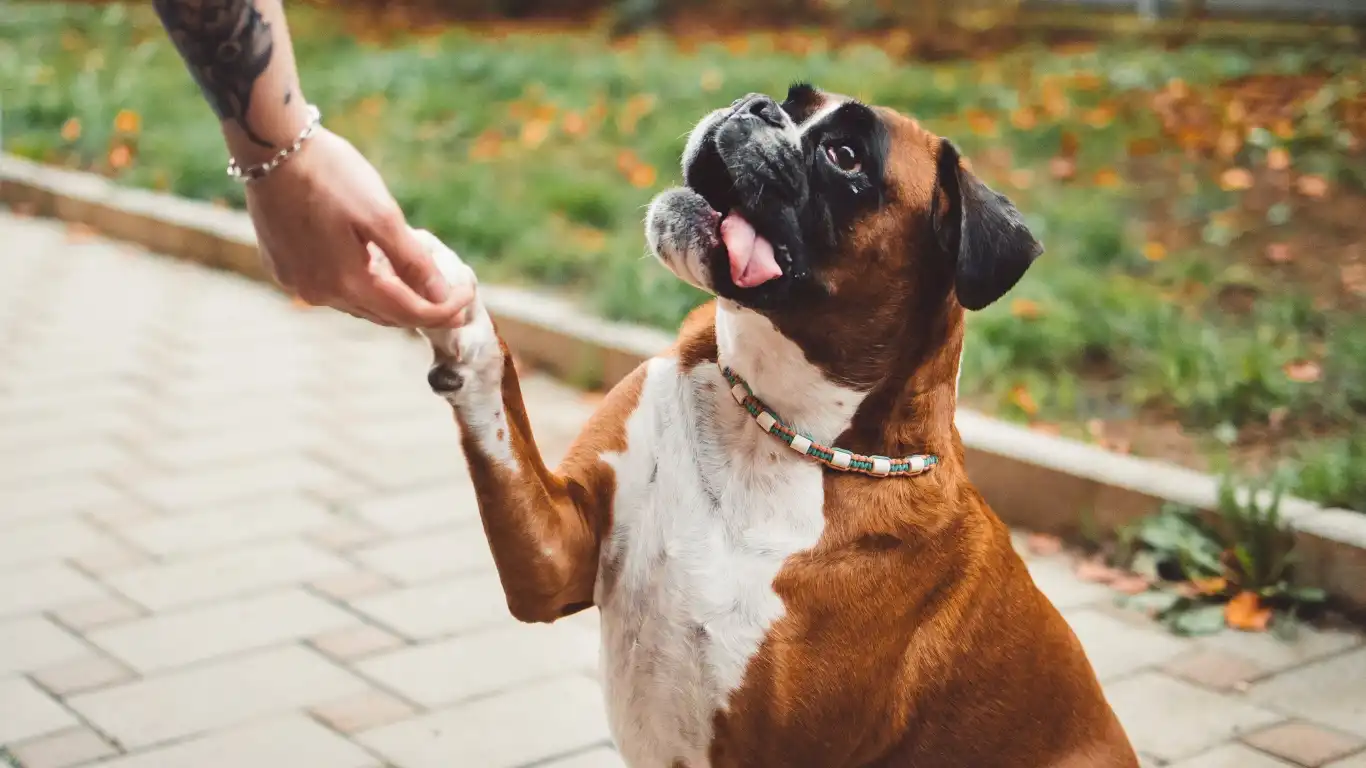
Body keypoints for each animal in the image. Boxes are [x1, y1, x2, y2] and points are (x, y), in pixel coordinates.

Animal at [417, 83, 1141, 765]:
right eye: (793, 101)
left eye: (845, 156)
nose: (755, 105)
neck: (771, 424)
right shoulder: (555, 556)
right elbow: (498, 418)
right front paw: (444, 298)